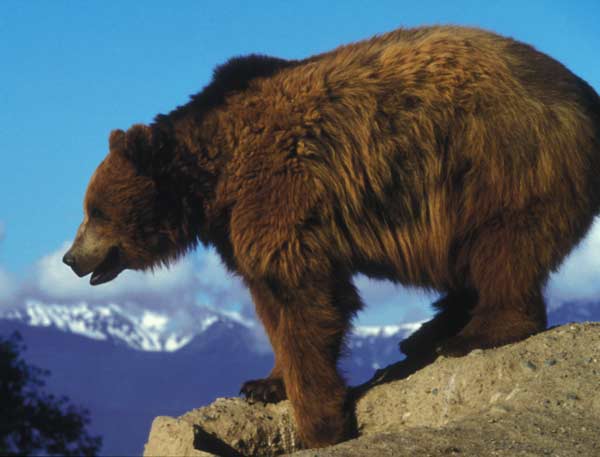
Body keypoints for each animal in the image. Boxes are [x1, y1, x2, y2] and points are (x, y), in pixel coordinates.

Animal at [63, 26, 600, 448]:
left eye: (95, 210)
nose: (70, 258)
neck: (213, 180)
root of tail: (583, 94)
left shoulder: (279, 193)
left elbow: (306, 300)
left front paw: (321, 423)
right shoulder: (241, 226)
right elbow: (272, 304)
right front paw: (264, 384)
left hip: (500, 162)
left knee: (502, 248)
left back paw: (473, 334)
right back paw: (426, 334)